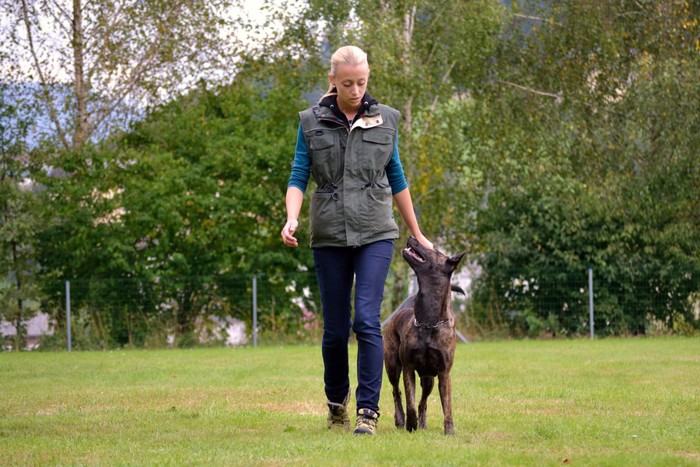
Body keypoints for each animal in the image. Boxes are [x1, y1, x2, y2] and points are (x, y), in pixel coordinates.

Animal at [382, 236, 464, 436]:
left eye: (435, 251)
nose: (412, 237)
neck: (429, 321)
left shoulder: (443, 373)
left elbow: (447, 405)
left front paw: (449, 430)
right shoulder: (408, 368)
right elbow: (410, 401)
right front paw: (411, 424)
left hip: (429, 380)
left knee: (423, 402)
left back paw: (423, 422)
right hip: (392, 366)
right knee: (396, 392)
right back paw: (400, 419)